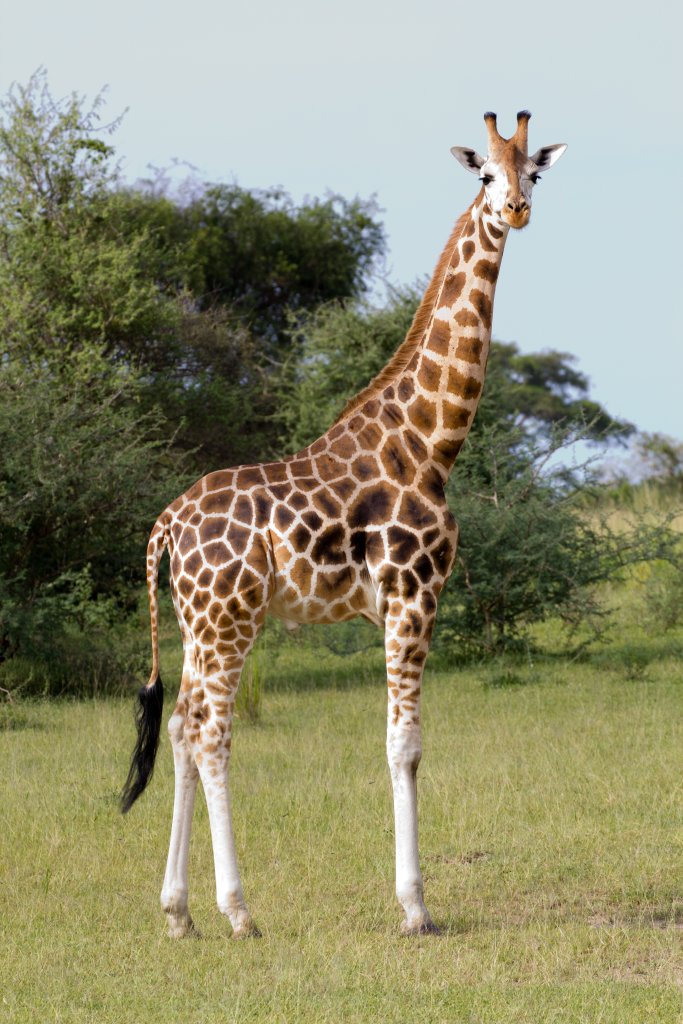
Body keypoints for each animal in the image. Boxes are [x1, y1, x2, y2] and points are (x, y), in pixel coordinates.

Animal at [121, 111, 567, 938]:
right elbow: (404, 745)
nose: (516, 210)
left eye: (533, 172)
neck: (426, 443)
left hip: (197, 622)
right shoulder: (412, 595)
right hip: (230, 619)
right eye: (483, 174)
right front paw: (415, 906)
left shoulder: (398, 603)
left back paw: (178, 912)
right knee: (213, 733)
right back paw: (238, 911)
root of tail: (165, 525)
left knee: (180, 728)